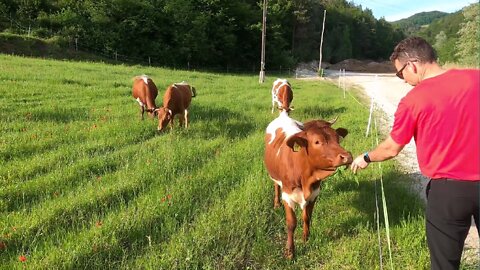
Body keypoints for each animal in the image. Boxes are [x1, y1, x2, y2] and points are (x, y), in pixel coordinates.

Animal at [262, 110, 352, 258]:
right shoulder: (288, 195)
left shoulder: (314, 194)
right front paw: (290, 251)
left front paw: (306, 238)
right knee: (276, 185)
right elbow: (291, 223)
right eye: (317, 141)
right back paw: (276, 204)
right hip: (274, 175)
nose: (347, 156)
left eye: (337, 138)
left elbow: (307, 217)